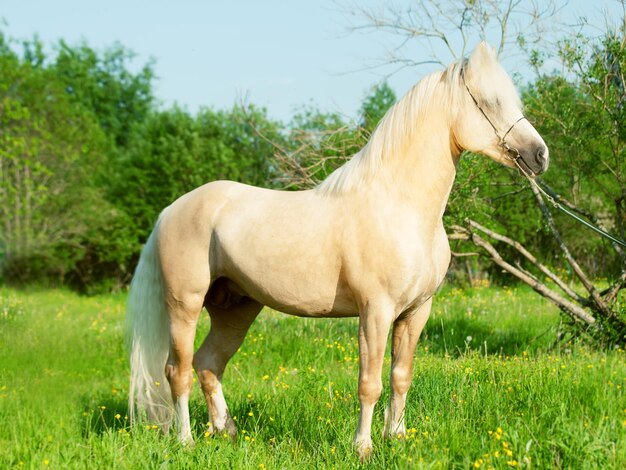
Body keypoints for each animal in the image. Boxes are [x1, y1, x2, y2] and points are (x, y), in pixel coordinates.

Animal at [125, 42, 544, 458]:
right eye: (490, 101)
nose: (540, 155)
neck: (401, 207)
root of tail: (171, 211)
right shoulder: (375, 312)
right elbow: (370, 382)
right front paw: (363, 447)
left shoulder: (415, 312)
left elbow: (401, 376)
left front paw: (397, 438)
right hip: (185, 305)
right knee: (177, 371)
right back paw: (186, 440)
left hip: (236, 308)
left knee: (209, 363)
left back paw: (225, 430)